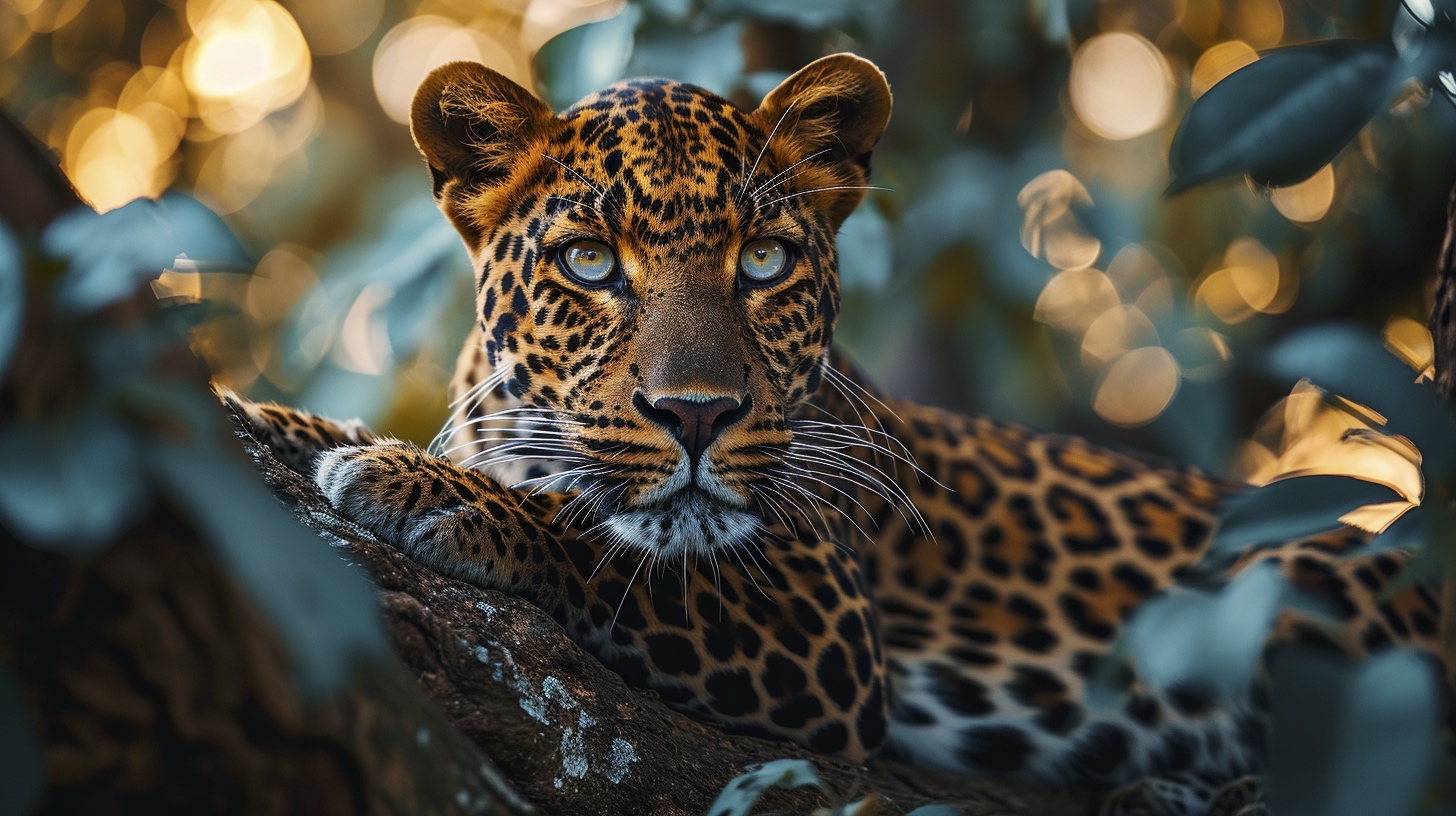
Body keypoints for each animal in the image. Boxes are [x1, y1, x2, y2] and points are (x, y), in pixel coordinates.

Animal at [224, 54, 1451, 815]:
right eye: (589, 261)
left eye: (764, 261)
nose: (697, 416)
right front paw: (262, 419)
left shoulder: (821, 618)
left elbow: (597, 536)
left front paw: (425, 488)